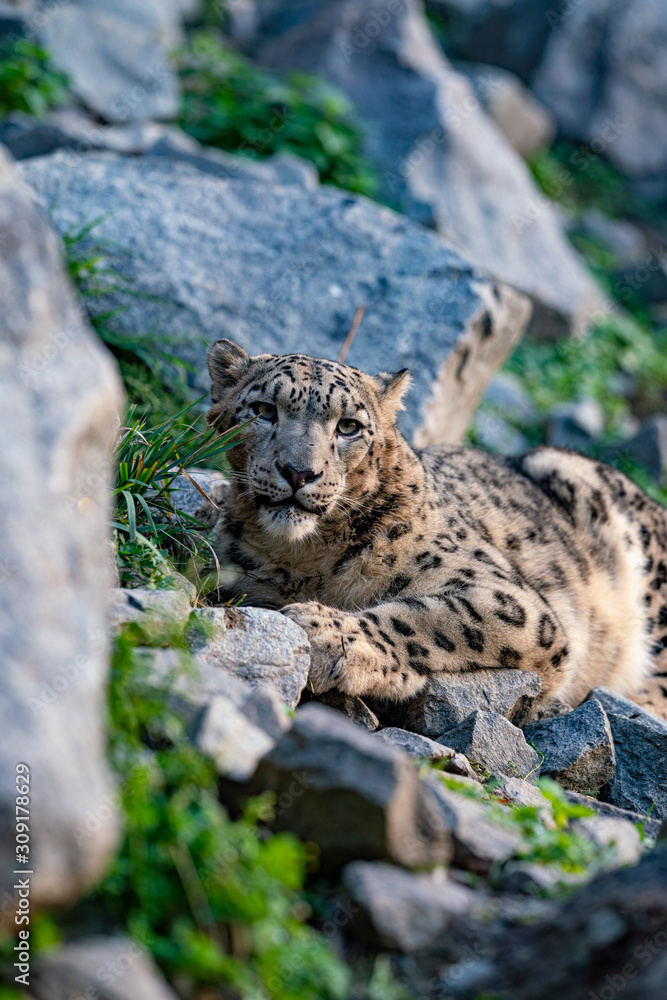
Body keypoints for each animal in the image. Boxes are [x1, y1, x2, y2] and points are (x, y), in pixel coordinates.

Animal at [207, 338, 667, 722]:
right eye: (264, 410)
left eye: (349, 426)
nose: (299, 472)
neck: (309, 557)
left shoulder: (511, 600)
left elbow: (435, 618)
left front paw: (326, 634)